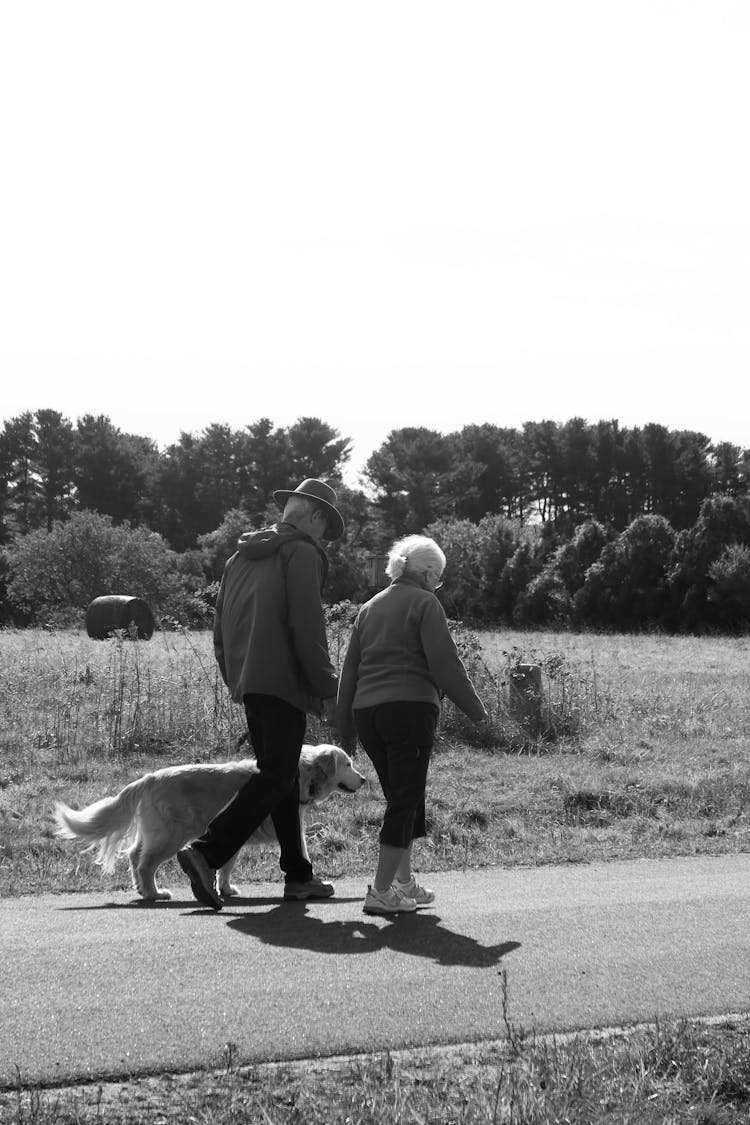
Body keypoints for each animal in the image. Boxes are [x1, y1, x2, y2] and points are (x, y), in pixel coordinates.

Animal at [54, 742, 364, 900]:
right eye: (348, 764)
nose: (363, 779)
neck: (303, 773)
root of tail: (148, 778)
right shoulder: (289, 826)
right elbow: (300, 852)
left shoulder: (237, 830)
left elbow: (227, 864)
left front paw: (224, 888)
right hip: (173, 835)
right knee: (145, 864)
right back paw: (154, 893)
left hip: (155, 832)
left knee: (134, 855)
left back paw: (143, 889)